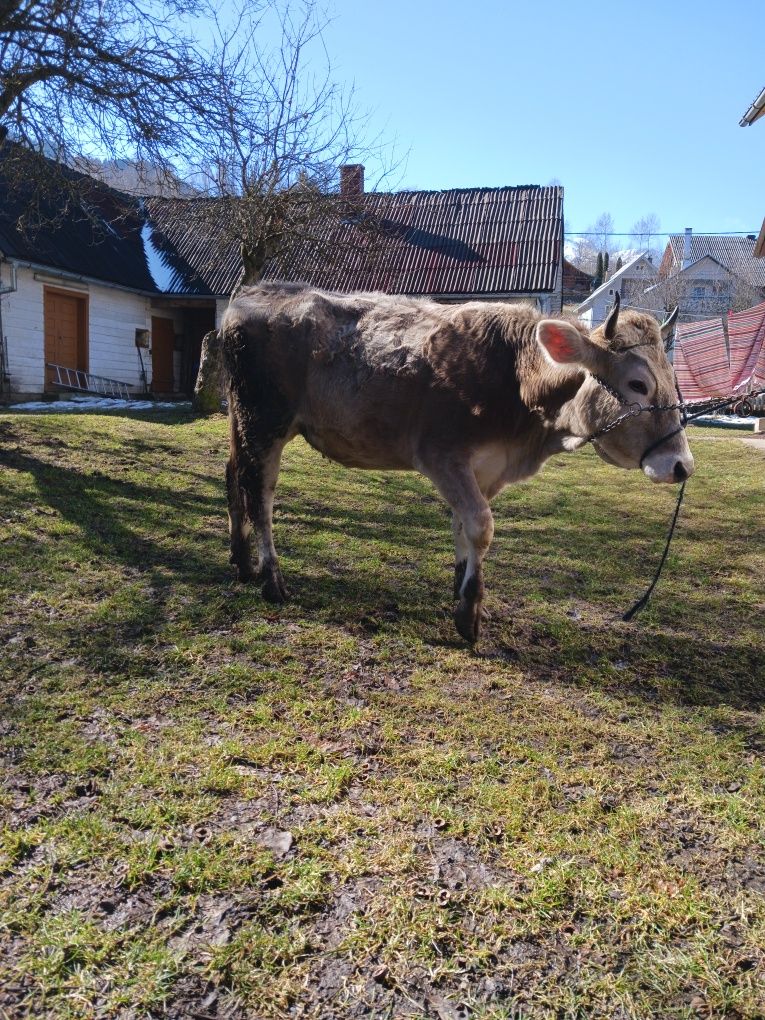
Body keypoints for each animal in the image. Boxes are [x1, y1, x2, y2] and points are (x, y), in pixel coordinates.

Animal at [218, 283, 693, 640]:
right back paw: (271, 579)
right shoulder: (442, 456)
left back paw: (242, 561)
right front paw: (469, 610)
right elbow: (481, 526)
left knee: (233, 475)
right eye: (638, 384)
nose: (682, 466)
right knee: (259, 492)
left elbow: (463, 526)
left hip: (243, 421)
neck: (516, 377)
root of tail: (256, 292)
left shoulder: (486, 469)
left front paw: (460, 586)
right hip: (264, 421)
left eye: (673, 380)